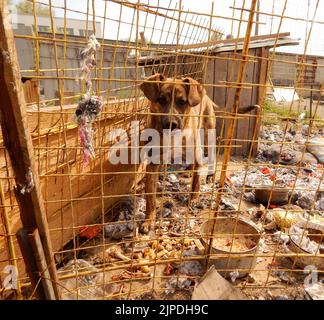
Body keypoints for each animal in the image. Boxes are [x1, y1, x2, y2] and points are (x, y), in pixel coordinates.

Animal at [139, 73, 258, 232]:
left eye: (182, 102)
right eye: (161, 100)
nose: (171, 124)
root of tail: (206, 96)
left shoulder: (198, 154)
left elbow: (196, 181)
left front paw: (194, 198)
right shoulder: (152, 164)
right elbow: (150, 197)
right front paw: (148, 220)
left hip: (208, 136)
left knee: (211, 158)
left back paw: (209, 174)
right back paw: (189, 169)